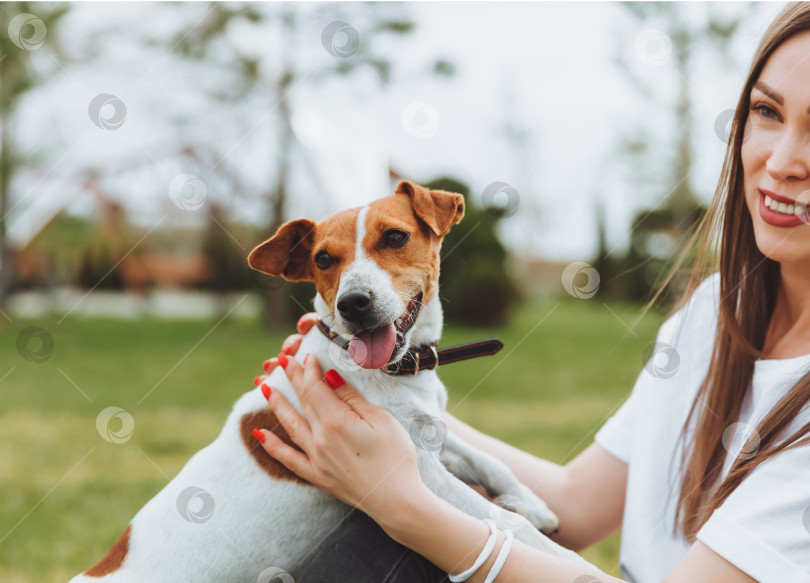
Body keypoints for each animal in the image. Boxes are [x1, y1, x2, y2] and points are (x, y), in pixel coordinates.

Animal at [72, 180, 592, 580]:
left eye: (396, 237)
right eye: (323, 259)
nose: (353, 303)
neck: (394, 371)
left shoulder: (429, 433)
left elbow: (490, 461)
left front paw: (531, 502)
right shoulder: (416, 473)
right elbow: (506, 524)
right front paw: (566, 562)